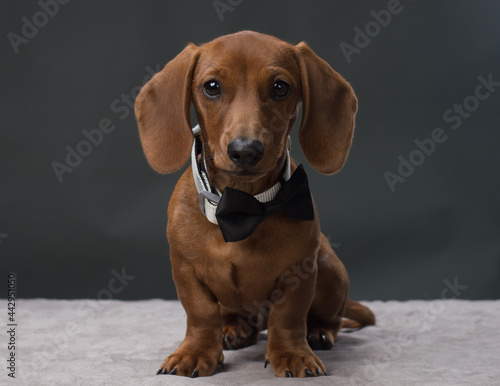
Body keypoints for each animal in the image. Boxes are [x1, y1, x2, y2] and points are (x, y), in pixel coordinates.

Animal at [135, 30, 374, 380]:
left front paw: (292, 354)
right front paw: (195, 352)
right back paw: (233, 330)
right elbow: (200, 314)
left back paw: (318, 333)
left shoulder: (299, 272)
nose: (245, 151)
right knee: (231, 318)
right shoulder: (185, 269)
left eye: (280, 87)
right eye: (212, 86)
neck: (242, 206)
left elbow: (288, 318)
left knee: (330, 319)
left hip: (330, 268)